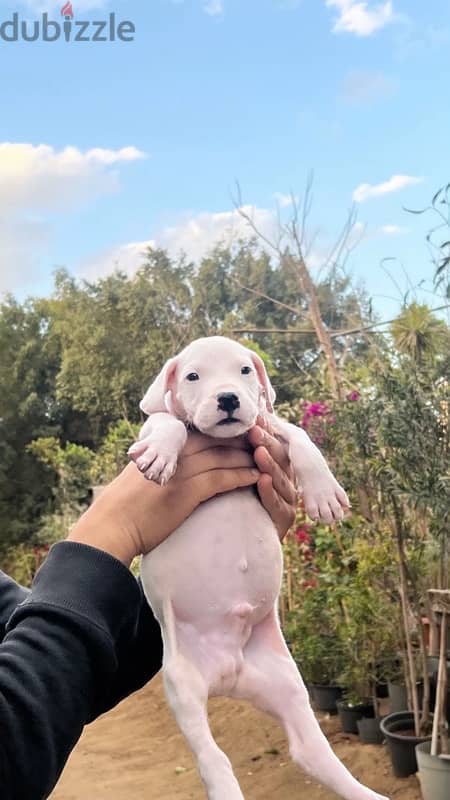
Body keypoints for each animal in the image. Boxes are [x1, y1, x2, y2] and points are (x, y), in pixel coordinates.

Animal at [128, 338, 388, 800]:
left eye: (245, 370)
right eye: (192, 376)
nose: (229, 398)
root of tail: (228, 672)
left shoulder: (266, 426)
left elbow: (299, 434)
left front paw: (323, 492)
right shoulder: (155, 426)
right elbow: (167, 422)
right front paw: (161, 453)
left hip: (287, 685)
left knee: (311, 752)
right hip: (182, 687)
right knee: (212, 757)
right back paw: (224, 786)